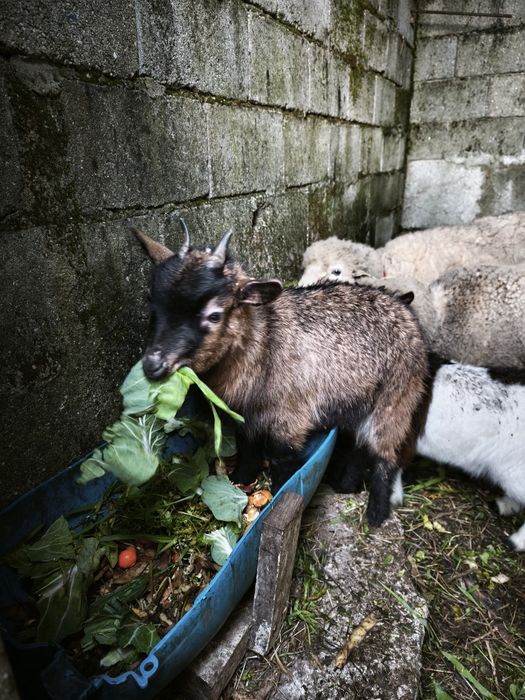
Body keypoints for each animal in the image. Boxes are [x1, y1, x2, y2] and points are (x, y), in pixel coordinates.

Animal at [134, 224, 428, 527]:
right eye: (152, 303)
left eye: (214, 315)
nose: (153, 365)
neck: (264, 345)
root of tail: (402, 308)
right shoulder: (247, 417)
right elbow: (248, 449)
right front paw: (239, 479)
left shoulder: (290, 419)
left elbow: (281, 460)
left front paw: (275, 501)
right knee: (360, 447)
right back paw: (346, 486)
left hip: (397, 397)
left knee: (385, 453)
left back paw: (376, 513)